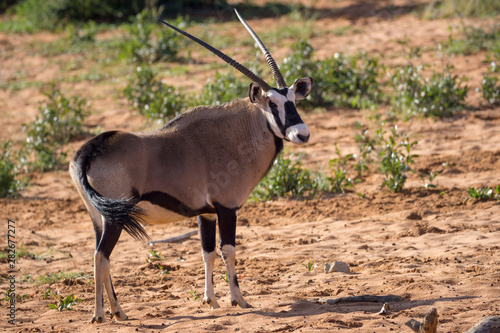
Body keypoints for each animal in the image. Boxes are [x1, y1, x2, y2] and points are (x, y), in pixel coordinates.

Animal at [70, 9, 312, 322]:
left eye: (293, 100)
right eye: (272, 104)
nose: (302, 134)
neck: (235, 134)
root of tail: (89, 150)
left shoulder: (206, 213)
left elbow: (206, 252)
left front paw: (211, 301)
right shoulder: (227, 208)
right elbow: (228, 250)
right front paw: (239, 300)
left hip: (100, 217)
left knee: (102, 256)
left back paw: (118, 311)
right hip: (113, 218)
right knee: (101, 256)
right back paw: (100, 314)